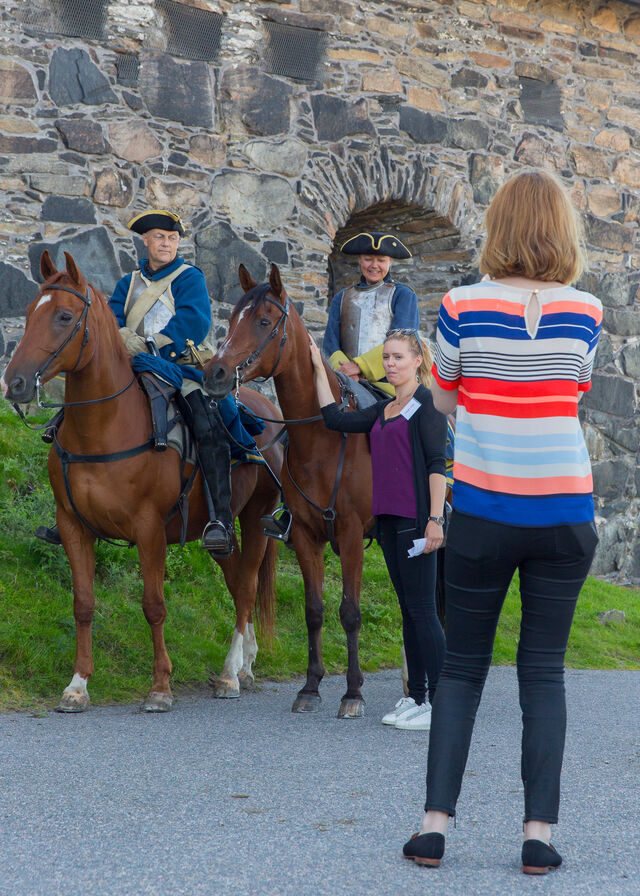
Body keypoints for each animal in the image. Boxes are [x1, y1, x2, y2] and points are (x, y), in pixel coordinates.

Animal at [1, 251, 283, 712]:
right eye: (27, 314)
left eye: (64, 316)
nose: (16, 384)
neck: (105, 426)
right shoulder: (73, 527)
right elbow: (83, 604)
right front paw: (77, 685)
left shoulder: (149, 530)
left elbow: (154, 605)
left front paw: (160, 687)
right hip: (219, 534)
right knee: (236, 579)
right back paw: (245, 663)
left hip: (256, 518)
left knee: (246, 589)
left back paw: (229, 674)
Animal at [204, 264, 374, 719]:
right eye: (231, 319)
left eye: (264, 322)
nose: (215, 374)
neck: (324, 435)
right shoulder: (305, 535)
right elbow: (314, 611)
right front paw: (311, 687)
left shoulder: (351, 535)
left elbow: (350, 612)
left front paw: (353, 693)